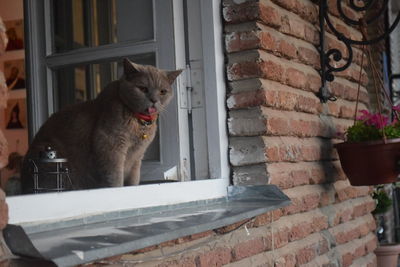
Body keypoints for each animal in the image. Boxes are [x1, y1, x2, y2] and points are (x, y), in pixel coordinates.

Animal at [21, 58, 182, 194]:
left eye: (163, 92)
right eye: (143, 89)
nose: (154, 100)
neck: (139, 122)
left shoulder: (137, 157)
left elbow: (133, 178)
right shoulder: (110, 145)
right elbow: (115, 175)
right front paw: (118, 190)